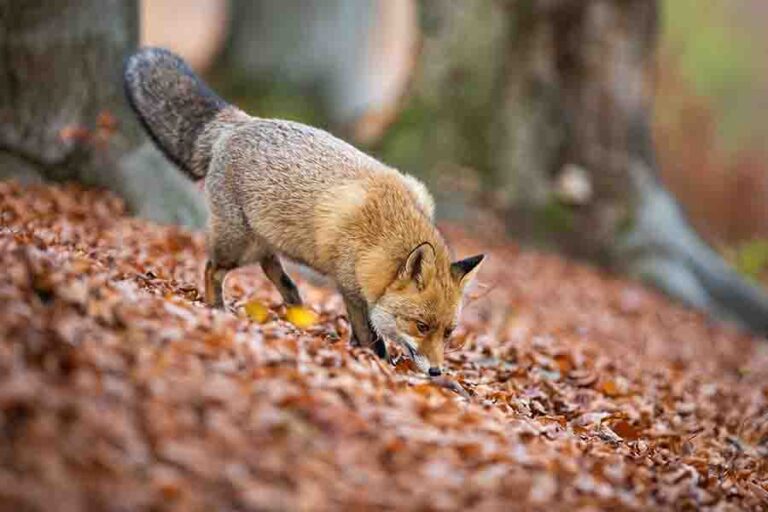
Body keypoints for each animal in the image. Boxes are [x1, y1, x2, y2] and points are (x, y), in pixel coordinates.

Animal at [123, 48, 484, 376]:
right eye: (421, 326)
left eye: (448, 332)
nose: (436, 372)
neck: (384, 234)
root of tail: (239, 122)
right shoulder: (350, 286)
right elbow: (370, 337)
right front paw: (378, 364)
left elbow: (363, 334)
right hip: (237, 245)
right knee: (213, 268)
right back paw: (218, 309)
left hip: (262, 239)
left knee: (274, 270)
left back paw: (296, 310)